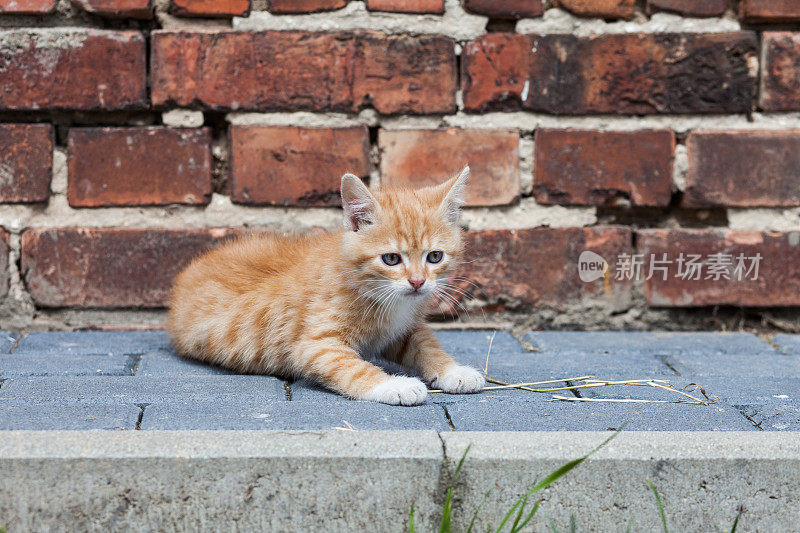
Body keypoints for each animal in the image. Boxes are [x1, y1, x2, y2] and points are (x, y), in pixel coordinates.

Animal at [166, 166, 484, 404]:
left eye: (434, 256)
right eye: (392, 258)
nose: (418, 282)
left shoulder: (404, 329)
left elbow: (427, 345)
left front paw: (454, 370)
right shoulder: (316, 345)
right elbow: (353, 367)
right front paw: (396, 385)